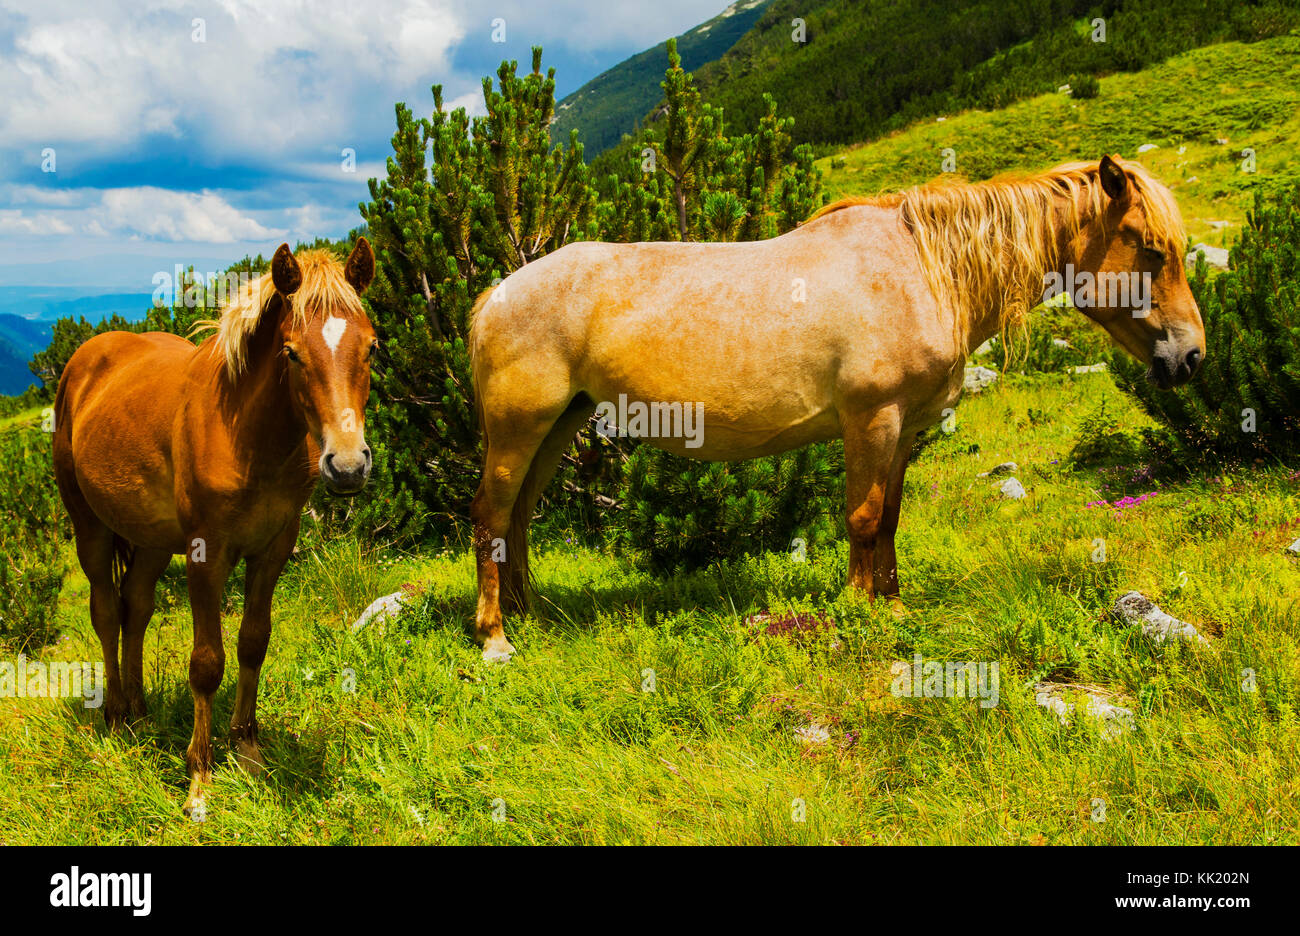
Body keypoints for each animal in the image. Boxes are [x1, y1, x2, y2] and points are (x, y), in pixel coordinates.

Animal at [53, 240, 377, 815]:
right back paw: (115, 719)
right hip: (90, 528)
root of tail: (81, 366)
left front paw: (248, 752)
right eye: (291, 353)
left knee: (137, 608)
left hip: (151, 542)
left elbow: (252, 643)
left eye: (371, 349)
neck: (247, 437)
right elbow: (207, 662)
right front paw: (199, 781)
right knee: (107, 613)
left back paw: (139, 713)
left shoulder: (273, 549)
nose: (347, 466)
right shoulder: (207, 554)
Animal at [467, 155, 1205, 660]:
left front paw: (894, 606)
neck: (921, 268)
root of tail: (497, 293)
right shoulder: (870, 420)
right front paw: (857, 608)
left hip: (558, 426)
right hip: (519, 429)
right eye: (1151, 248)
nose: (1192, 356)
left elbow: (891, 519)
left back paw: (531, 615)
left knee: (520, 518)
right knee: (491, 516)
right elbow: (863, 516)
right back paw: (495, 637)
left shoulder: (904, 431)